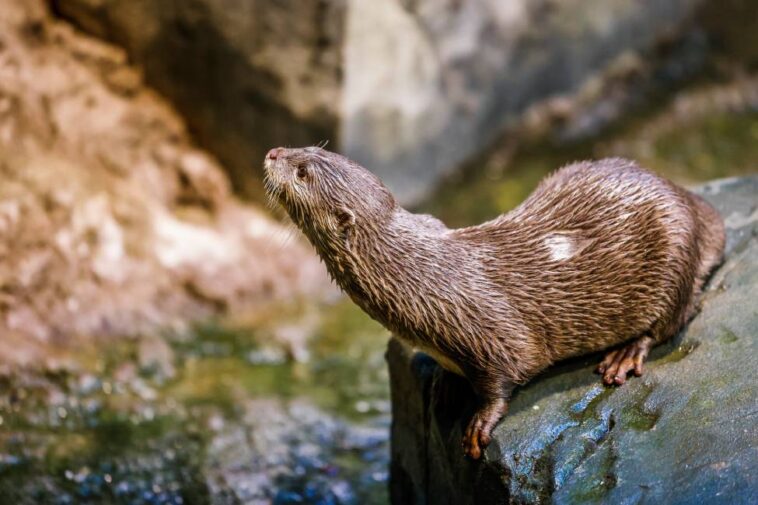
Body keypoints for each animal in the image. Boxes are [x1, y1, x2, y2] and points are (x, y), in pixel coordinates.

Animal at [263, 146, 725, 460]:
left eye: (302, 172)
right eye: (312, 148)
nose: (272, 152)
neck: (414, 273)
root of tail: (685, 198)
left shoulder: (493, 331)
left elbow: (505, 374)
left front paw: (479, 422)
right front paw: (443, 386)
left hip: (674, 255)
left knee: (677, 315)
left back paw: (625, 355)